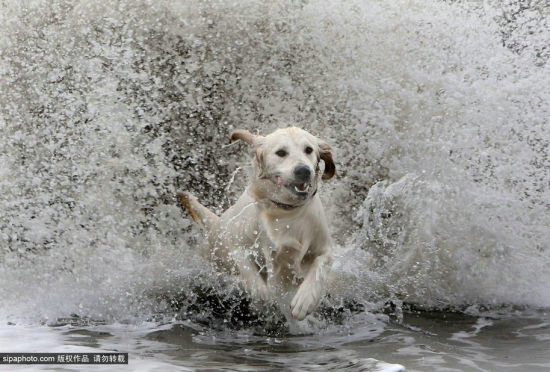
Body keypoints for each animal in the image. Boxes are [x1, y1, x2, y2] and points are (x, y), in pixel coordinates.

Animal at [180, 128, 336, 320]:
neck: (285, 211)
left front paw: (304, 301)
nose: (304, 170)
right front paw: (263, 299)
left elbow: (320, 265)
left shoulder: (323, 247)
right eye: (281, 152)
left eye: (309, 150)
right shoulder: (239, 246)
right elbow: (255, 281)